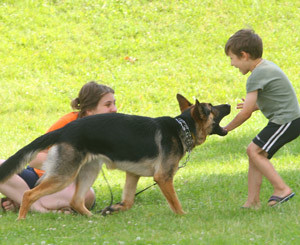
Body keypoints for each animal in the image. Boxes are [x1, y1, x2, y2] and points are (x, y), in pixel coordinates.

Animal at [0, 94, 230, 219]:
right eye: (212, 108)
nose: (229, 104)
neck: (182, 127)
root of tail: (65, 130)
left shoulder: (132, 174)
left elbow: (128, 202)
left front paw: (113, 209)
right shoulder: (163, 178)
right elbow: (176, 203)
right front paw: (183, 216)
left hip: (89, 171)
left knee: (76, 201)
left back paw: (94, 218)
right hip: (64, 176)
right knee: (28, 194)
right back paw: (22, 219)